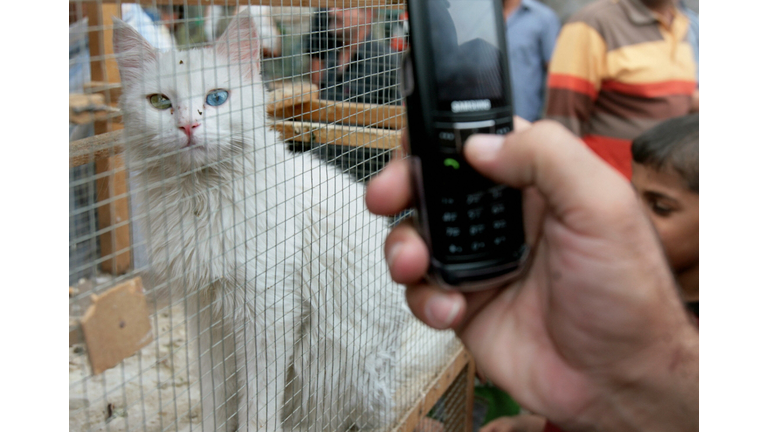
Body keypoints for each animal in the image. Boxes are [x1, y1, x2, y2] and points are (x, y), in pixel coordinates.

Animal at [112, 15, 438, 432]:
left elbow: (259, 407)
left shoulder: (269, 313)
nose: (187, 127)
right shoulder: (204, 314)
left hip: (343, 369)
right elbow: (216, 400)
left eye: (216, 98)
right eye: (160, 102)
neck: (199, 200)